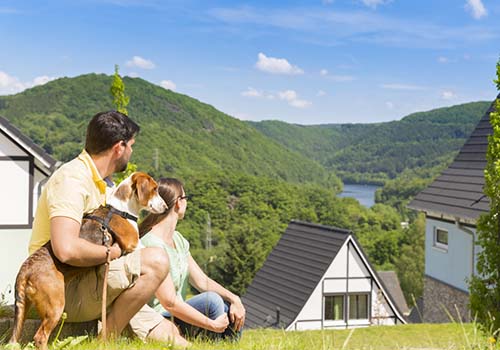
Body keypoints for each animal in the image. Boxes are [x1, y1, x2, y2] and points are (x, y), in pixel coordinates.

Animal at [8, 172, 168, 348]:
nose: (166, 207)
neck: (121, 209)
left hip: (23, 308)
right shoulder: (132, 243)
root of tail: (25, 270)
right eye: (155, 189)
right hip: (56, 305)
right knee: (40, 337)